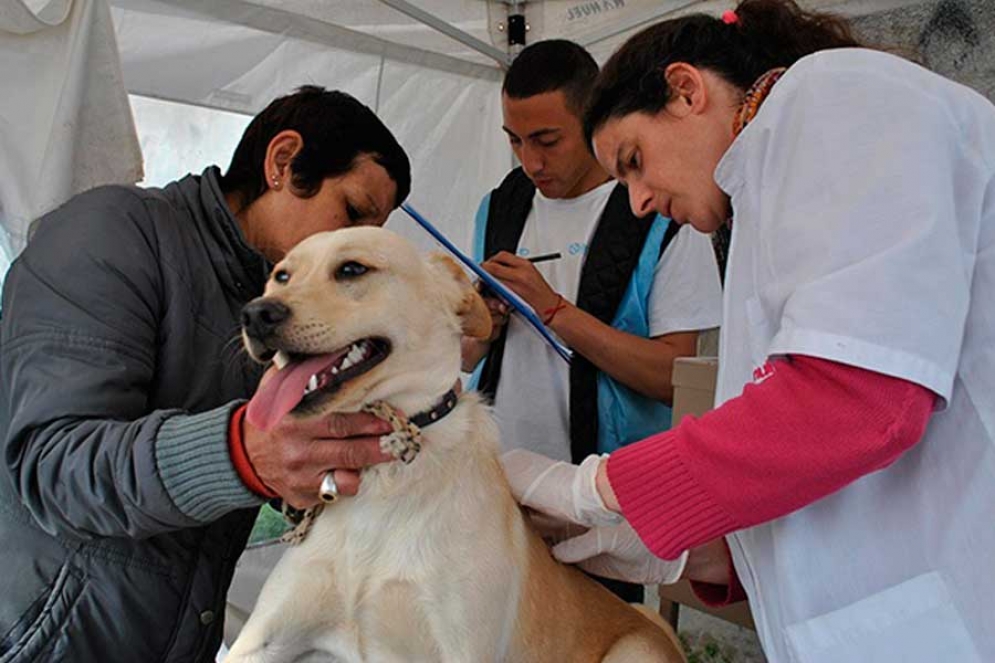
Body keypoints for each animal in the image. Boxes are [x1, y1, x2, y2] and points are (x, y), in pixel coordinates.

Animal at [228, 228, 684, 663]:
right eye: (281, 276)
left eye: (352, 269)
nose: (256, 314)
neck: (385, 476)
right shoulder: (256, 643)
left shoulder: (460, 647)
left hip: (635, 649)